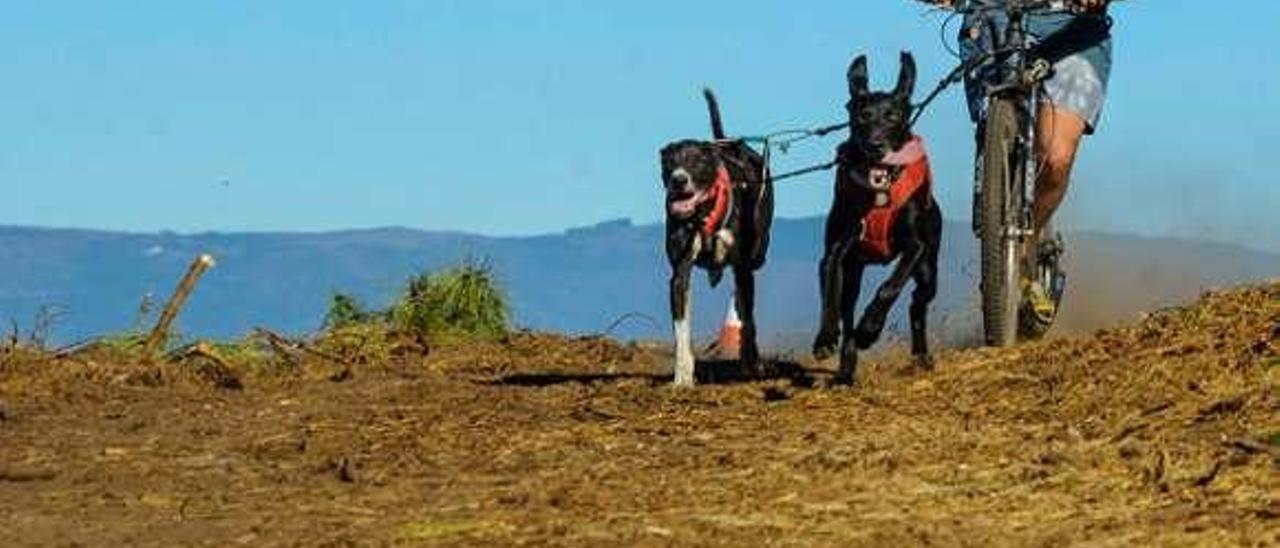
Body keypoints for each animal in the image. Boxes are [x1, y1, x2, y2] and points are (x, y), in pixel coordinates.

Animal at [660, 89, 768, 386]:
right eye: (670, 163)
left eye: (695, 161)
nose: (678, 180)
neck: (704, 213)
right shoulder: (679, 273)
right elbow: (681, 330)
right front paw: (683, 376)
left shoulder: (743, 266)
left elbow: (749, 320)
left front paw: (751, 362)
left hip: (756, 254)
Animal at [814, 52, 947, 384]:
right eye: (862, 116)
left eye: (893, 116)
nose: (875, 145)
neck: (880, 191)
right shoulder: (836, 250)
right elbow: (830, 291)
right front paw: (825, 337)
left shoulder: (916, 247)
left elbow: (889, 288)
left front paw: (870, 329)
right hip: (855, 270)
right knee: (848, 307)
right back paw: (846, 363)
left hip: (929, 269)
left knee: (917, 305)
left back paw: (920, 355)